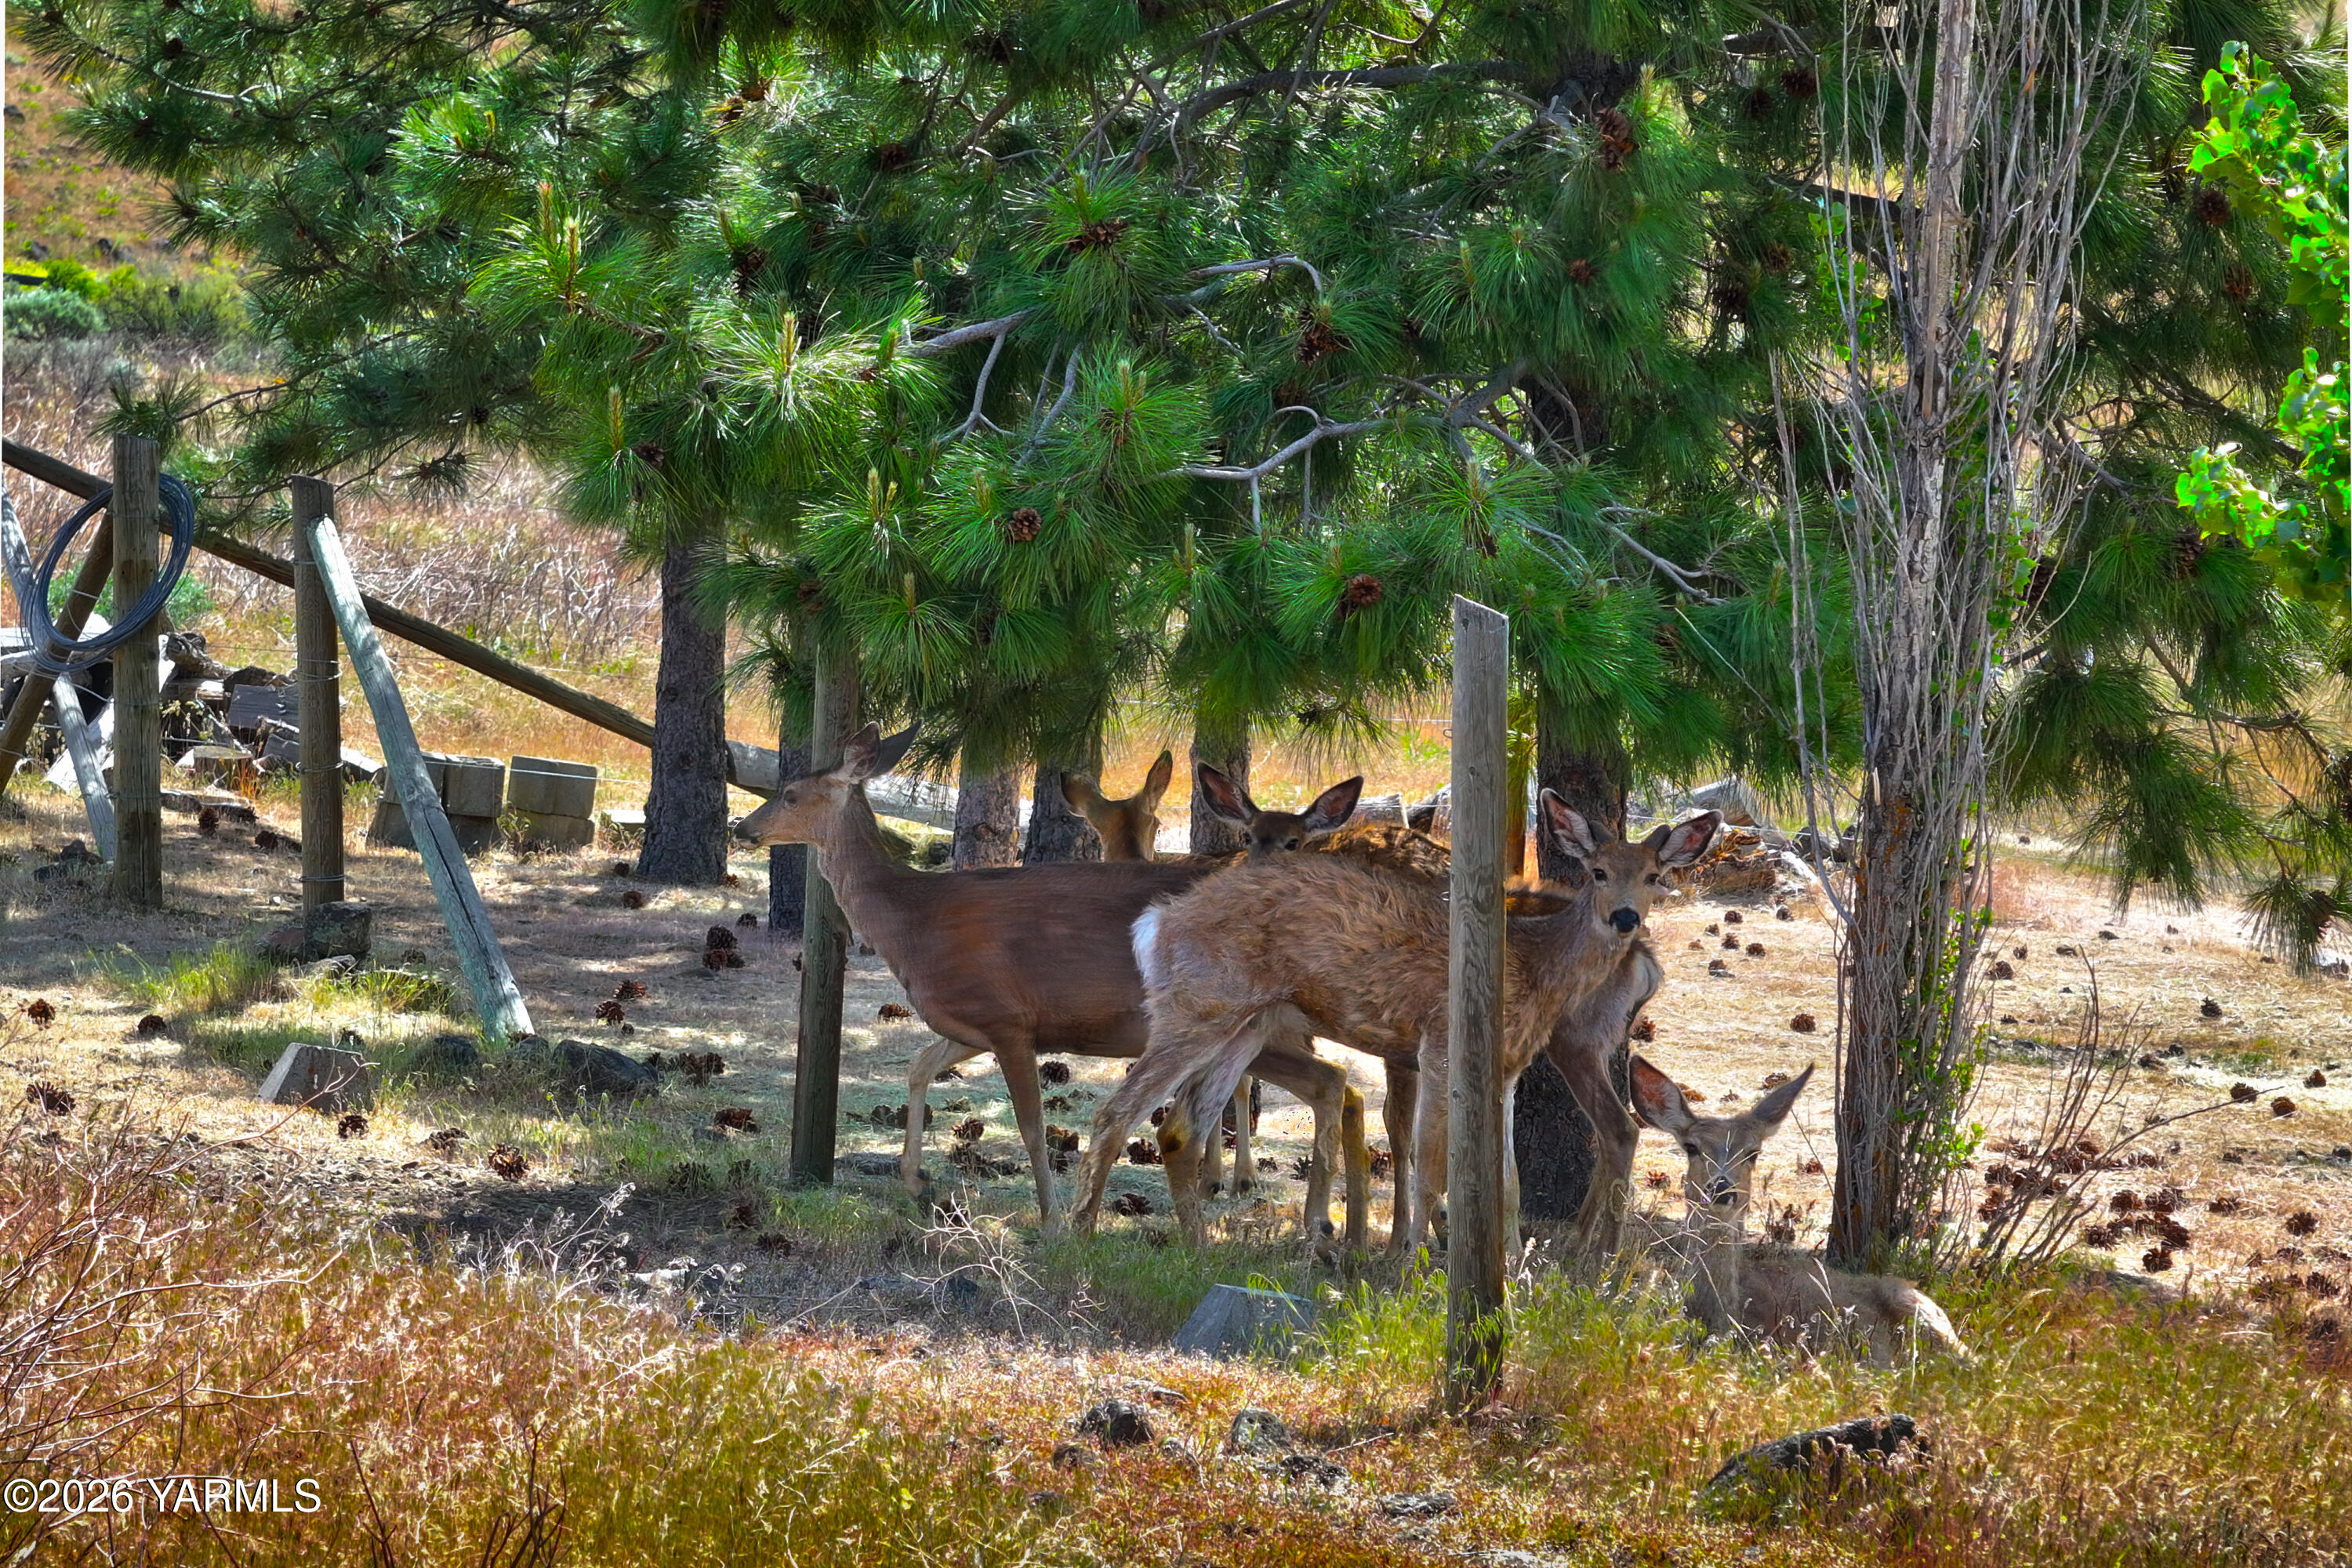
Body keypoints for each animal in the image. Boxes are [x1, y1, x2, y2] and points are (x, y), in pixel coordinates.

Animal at [733, 724, 1370, 1240]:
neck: (911, 923)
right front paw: (916, 1181)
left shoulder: (1007, 1018)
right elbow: (918, 1067)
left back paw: (1316, 1221)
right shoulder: (972, 1022)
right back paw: (1330, 1226)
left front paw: (1054, 1220)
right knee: (1334, 1084)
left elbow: (1033, 1127)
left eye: (790, 794)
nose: (743, 828)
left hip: (1233, 1019)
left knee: (1329, 1083)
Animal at [1072, 796, 1720, 1252]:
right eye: (1598, 872)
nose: (1625, 917)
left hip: (1243, 1023)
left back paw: (1199, 1245)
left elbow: (1507, 1183)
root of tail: (1156, 922)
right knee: (1117, 1112)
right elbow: (1429, 1164)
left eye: (1655, 875)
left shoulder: (1508, 1068)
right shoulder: (1439, 1043)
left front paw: (1510, 1273)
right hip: (1198, 1006)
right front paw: (1406, 1267)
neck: (1531, 962)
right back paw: (1077, 1236)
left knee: (1178, 1126)